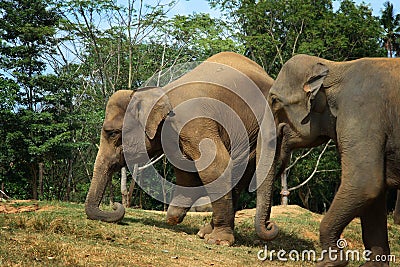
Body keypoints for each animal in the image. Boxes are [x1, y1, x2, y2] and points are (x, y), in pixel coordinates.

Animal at [85, 52, 278, 247]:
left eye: (112, 133)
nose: (116, 206)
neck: (160, 94)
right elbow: (186, 168)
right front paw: (174, 215)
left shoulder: (194, 123)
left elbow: (216, 166)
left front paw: (218, 241)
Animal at [256, 53, 400, 266]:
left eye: (274, 100)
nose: (270, 225)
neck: (336, 68)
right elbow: (375, 193)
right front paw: (373, 264)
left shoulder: (361, 114)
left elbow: (365, 184)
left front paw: (330, 262)